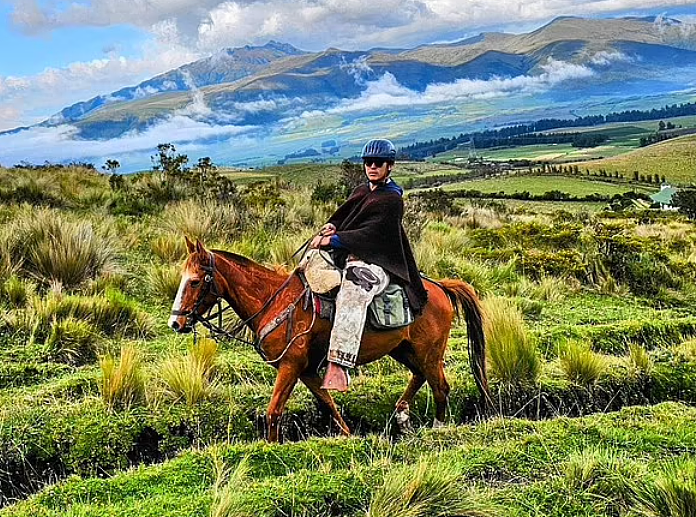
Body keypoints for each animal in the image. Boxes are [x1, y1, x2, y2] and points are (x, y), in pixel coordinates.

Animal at [169, 236, 490, 442]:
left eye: (194, 281)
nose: (176, 322)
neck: (274, 301)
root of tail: (440, 287)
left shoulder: (291, 366)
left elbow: (274, 412)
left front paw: (271, 449)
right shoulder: (307, 370)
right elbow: (329, 405)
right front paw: (347, 436)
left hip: (429, 351)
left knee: (440, 387)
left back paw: (438, 428)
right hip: (403, 349)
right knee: (420, 376)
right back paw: (400, 414)